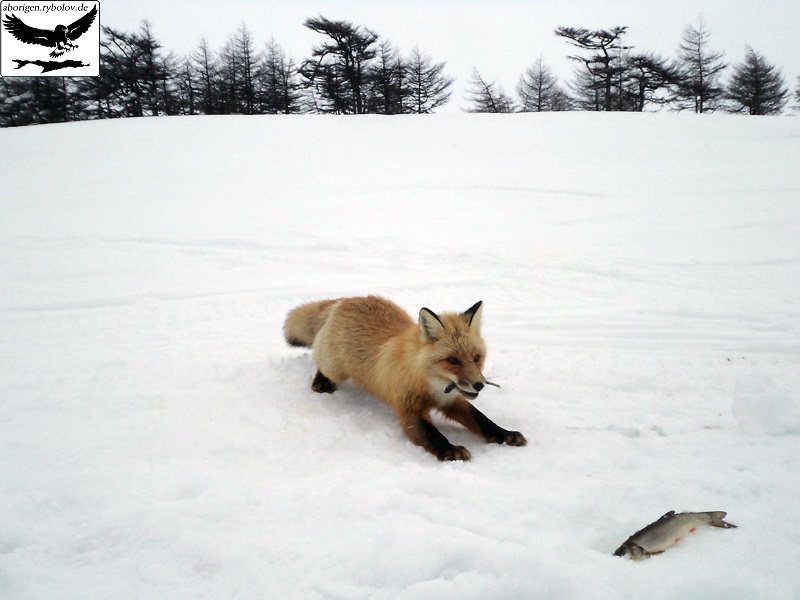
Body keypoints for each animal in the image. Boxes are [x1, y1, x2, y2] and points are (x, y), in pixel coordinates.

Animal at [282, 296, 524, 460]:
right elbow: (431, 435)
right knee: (320, 361)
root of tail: (346, 299)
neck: (430, 384)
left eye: (476, 358)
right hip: (335, 368)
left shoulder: (452, 399)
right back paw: (321, 382)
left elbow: (482, 420)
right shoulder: (408, 409)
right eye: (452, 360)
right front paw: (450, 450)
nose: (479, 385)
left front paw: (505, 435)